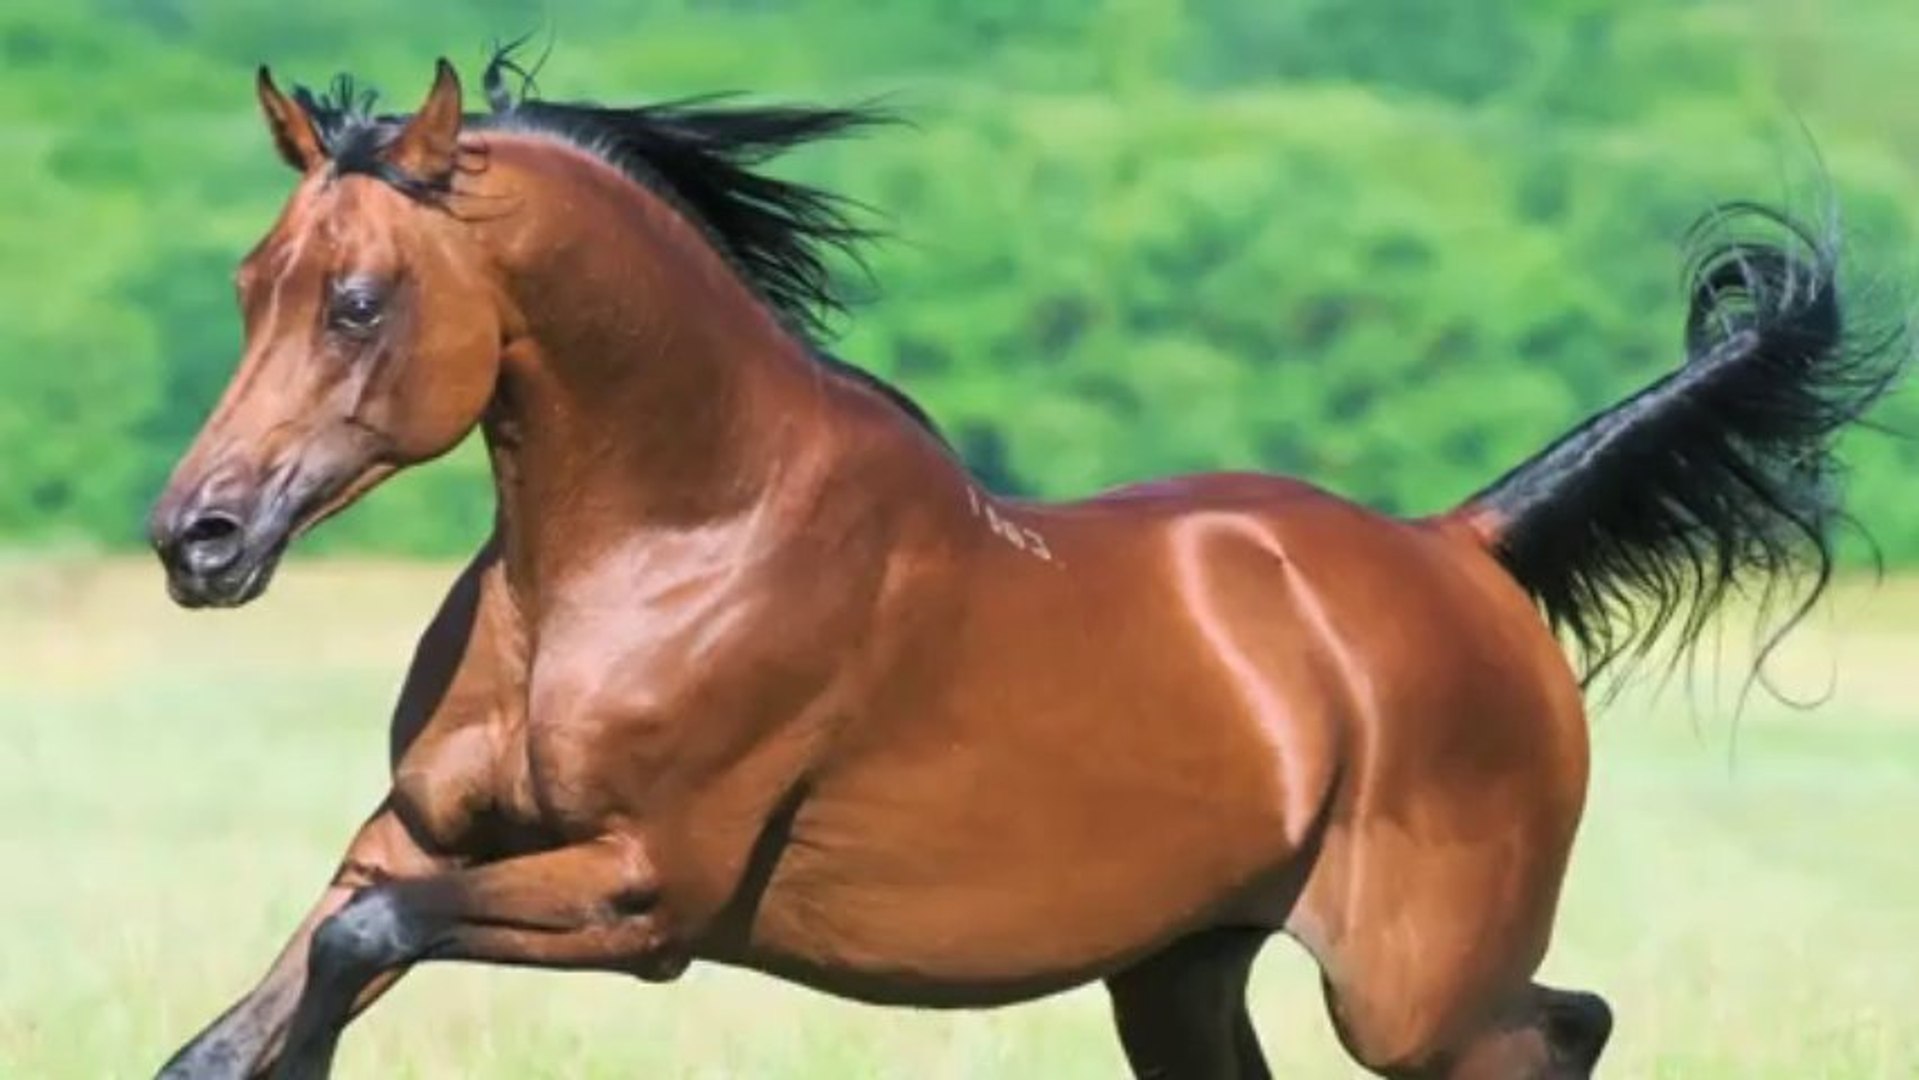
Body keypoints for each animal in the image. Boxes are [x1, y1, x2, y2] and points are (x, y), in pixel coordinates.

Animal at [145, 51, 1904, 1079]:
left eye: (358, 300)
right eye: (246, 281)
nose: (196, 539)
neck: (667, 542)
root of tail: (1458, 549)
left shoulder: (644, 896)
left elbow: (360, 956)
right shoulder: (405, 841)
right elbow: (249, 1022)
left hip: (1415, 990)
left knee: (1566, 1029)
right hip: (1180, 973)